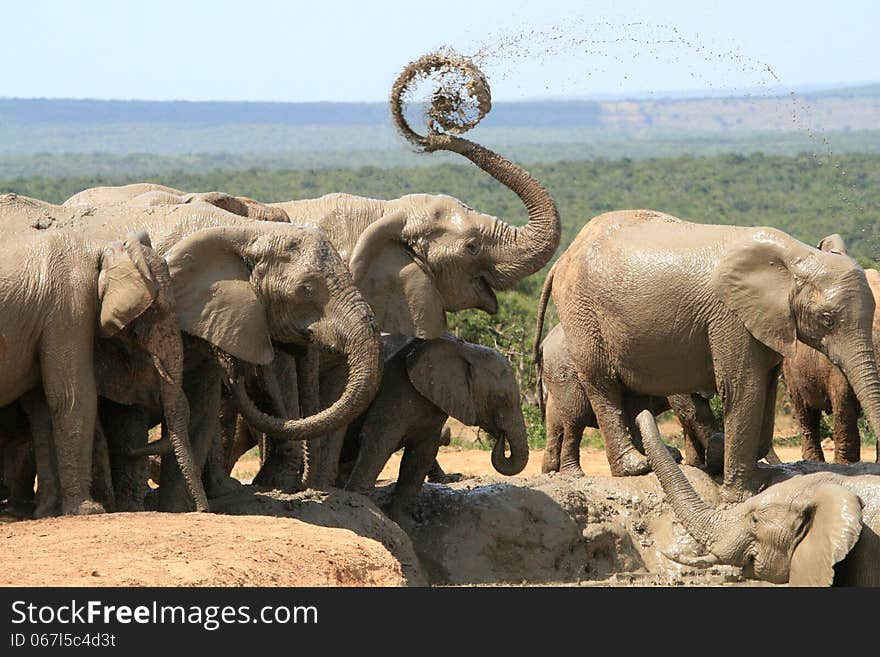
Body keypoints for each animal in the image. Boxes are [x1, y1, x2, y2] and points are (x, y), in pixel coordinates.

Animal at [338, 336, 528, 520]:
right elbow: (379, 442)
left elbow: (421, 456)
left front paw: (401, 521)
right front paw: (361, 505)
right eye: (502, 398)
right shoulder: (395, 389)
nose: (500, 436)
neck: (464, 348)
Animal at [536, 322, 720, 472]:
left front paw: (695, 464)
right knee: (575, 418)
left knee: (555, 424)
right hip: (566, 375)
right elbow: (692, 410)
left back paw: (550, 471)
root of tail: (544, 344)